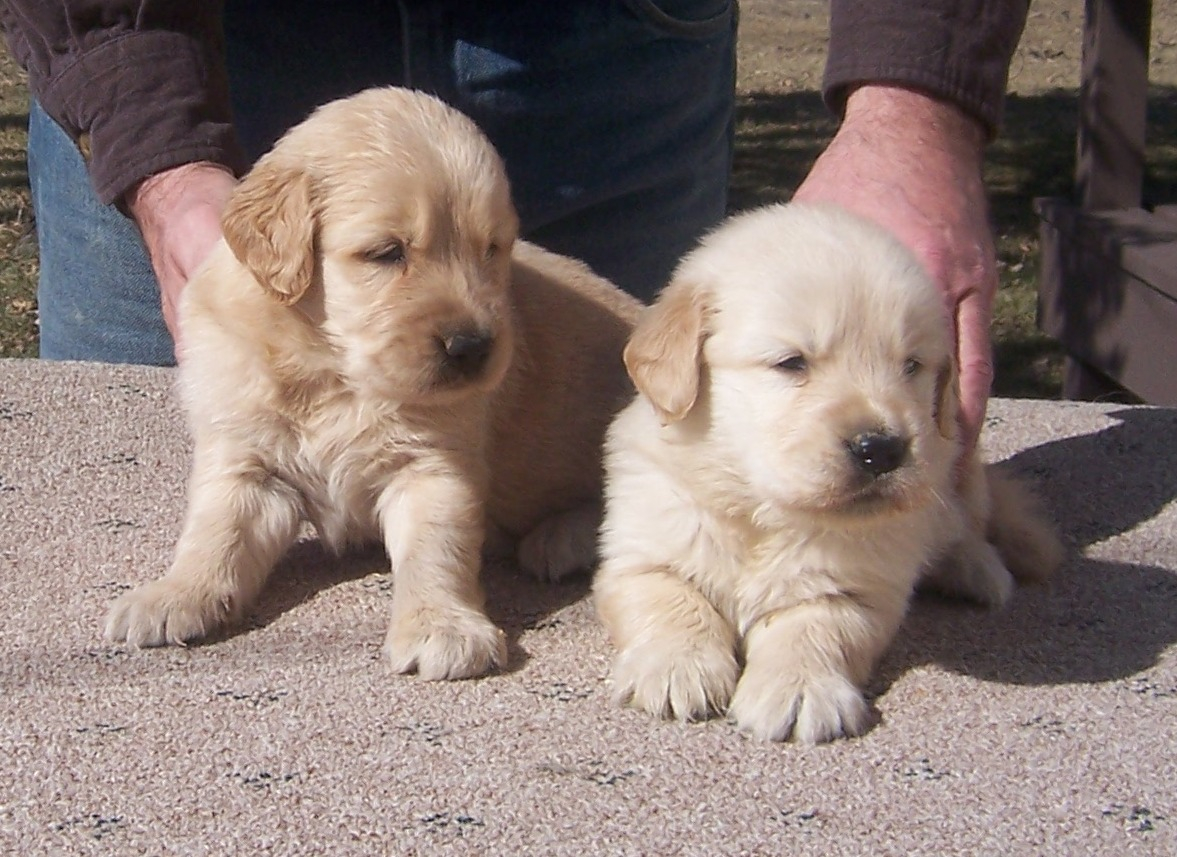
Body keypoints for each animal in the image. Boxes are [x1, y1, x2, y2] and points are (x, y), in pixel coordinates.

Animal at [108, 85, 644, 678]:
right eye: (387, 253)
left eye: (491, 249)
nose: (472, 347)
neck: (332, 372)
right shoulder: (246, 458)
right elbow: (215, 532)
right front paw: (176, 594)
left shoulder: (434, 465)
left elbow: (436, 551)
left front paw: (440, 625)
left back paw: (560, 539)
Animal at [593, 202, 1064, 743]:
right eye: (791, 362)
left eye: (912, 366)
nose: (881, 449)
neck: (761, 511)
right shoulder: (642, 551)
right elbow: (671, 600)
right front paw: (676, 667)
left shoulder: (855, 589)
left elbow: (814, 626)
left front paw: (798, 690)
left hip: (957, 471)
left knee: (965, 527)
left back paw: (979, 570)